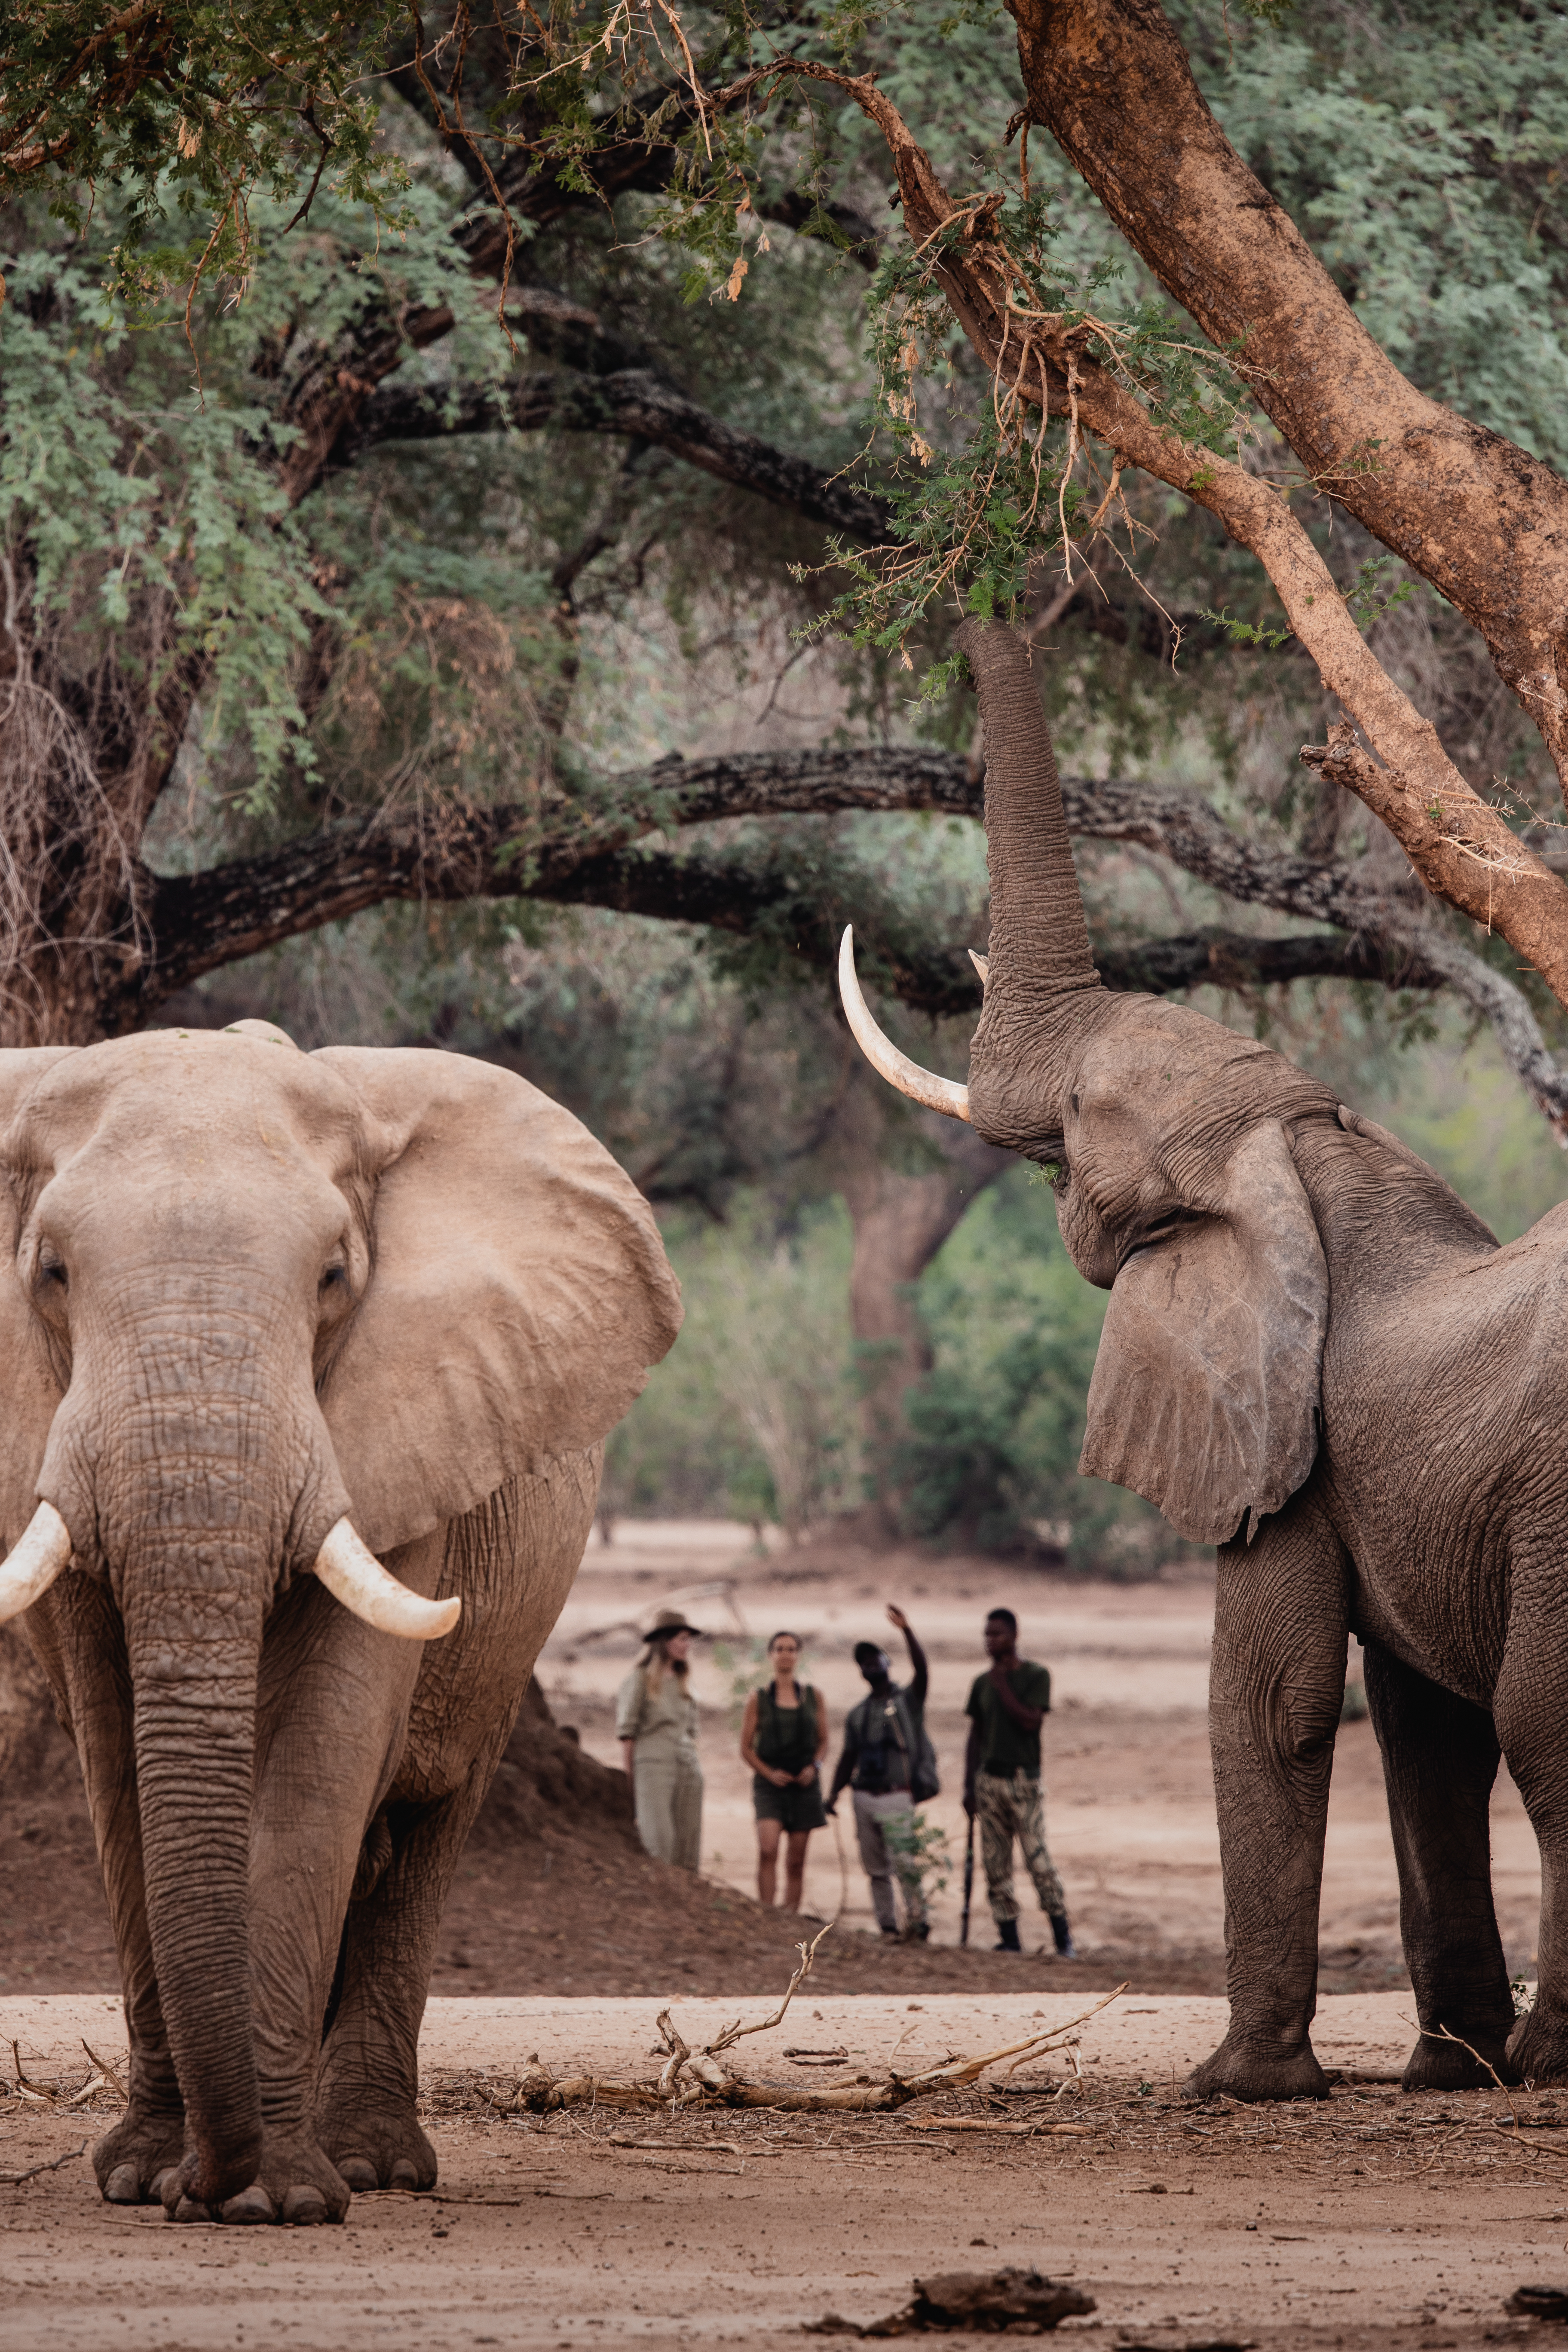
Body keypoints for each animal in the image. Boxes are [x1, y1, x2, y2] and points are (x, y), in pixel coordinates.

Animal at [0, 1022, 681, 2220]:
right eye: (51, 1273)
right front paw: (141, 2178)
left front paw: (278, 2198)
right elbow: (120, 1768)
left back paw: (372, 2163)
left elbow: (326, 1746)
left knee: (422, 1837)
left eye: (333, 1277)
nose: (202, 2185)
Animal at [841, 614, 1568, 2102]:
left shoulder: (1285, 1449)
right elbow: (1423, 1735)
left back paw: (1550, 2055)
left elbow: (1274, 1702)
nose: (1013, 590)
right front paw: (1441, 2074)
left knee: (1546, 1729)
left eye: (1074, 1115)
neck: (1303, 1147)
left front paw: (1239, 2084)